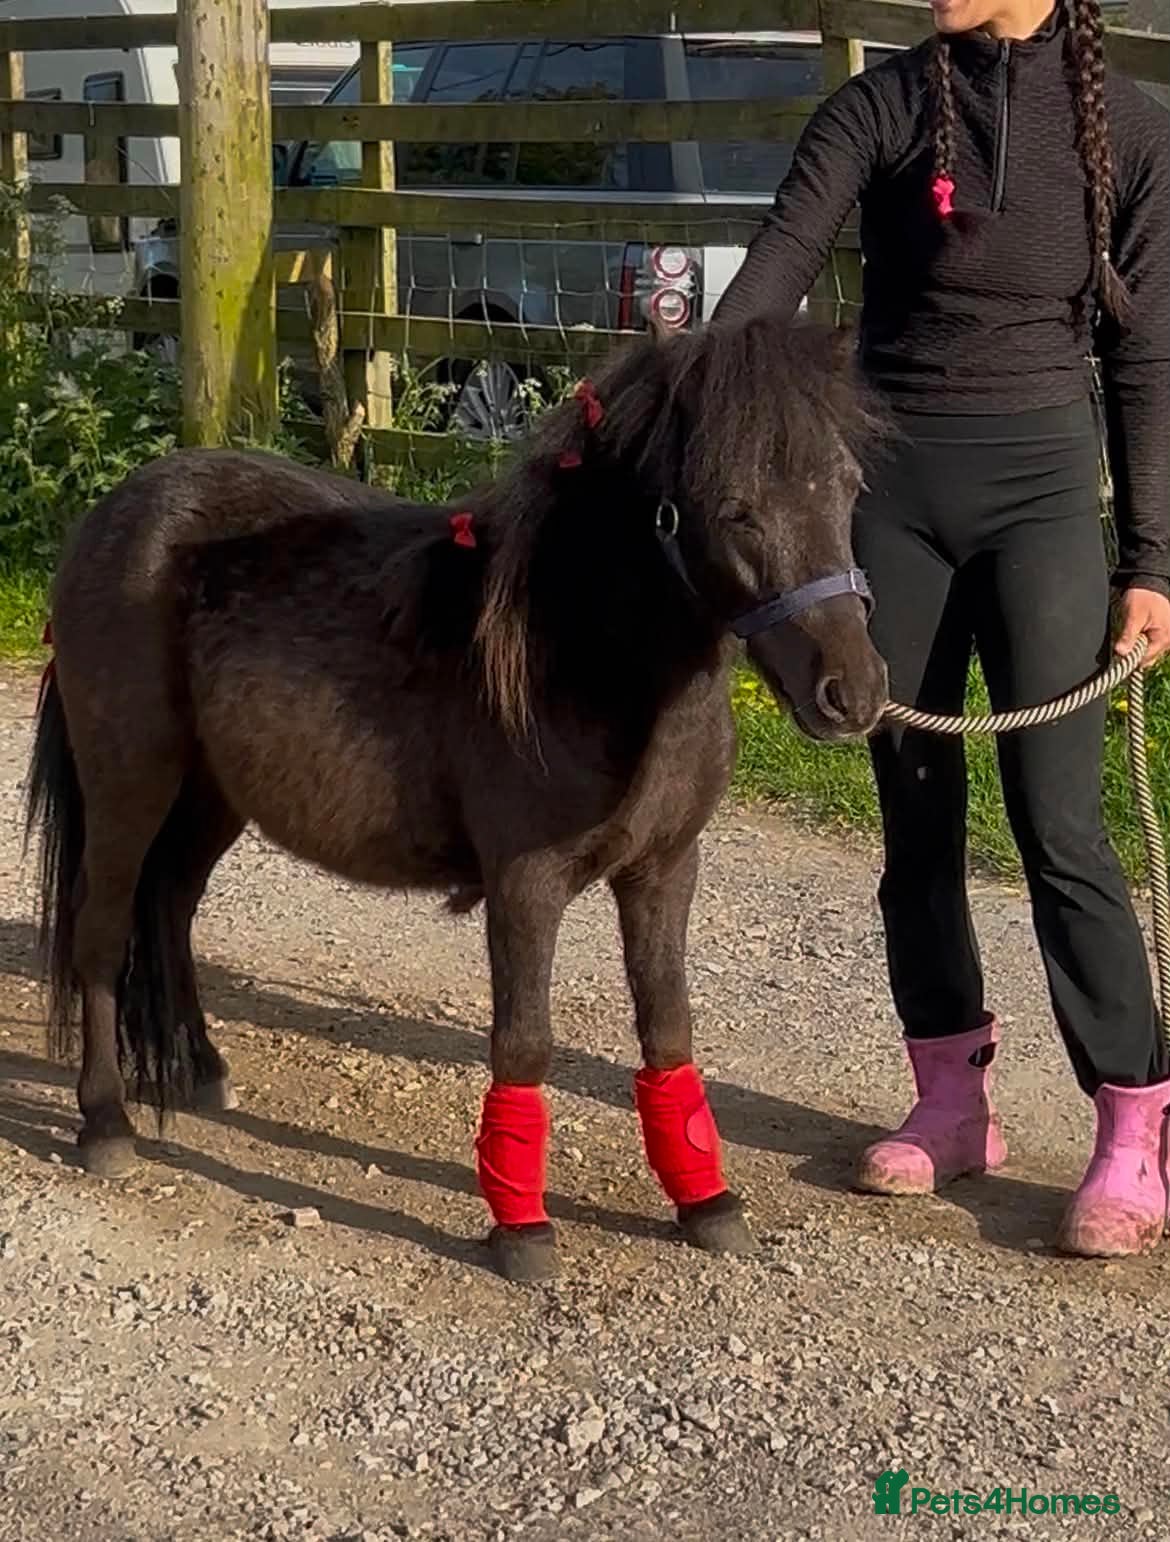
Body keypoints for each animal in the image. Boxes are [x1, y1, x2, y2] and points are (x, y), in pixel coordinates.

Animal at [25, 313, 888, 1282]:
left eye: (848, 487)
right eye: (735, 505)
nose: (852, 693)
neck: (577, 652)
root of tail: (114, 514)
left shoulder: (665, 870)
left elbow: (668, 1028)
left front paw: (708, 1203)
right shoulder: (525, 883)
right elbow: (524, 1040)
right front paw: (522, 1228)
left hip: (215, 793)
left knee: (169, 905)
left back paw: (197, 1072)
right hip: (130, 781)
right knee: (102, 934)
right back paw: (106, 1122)